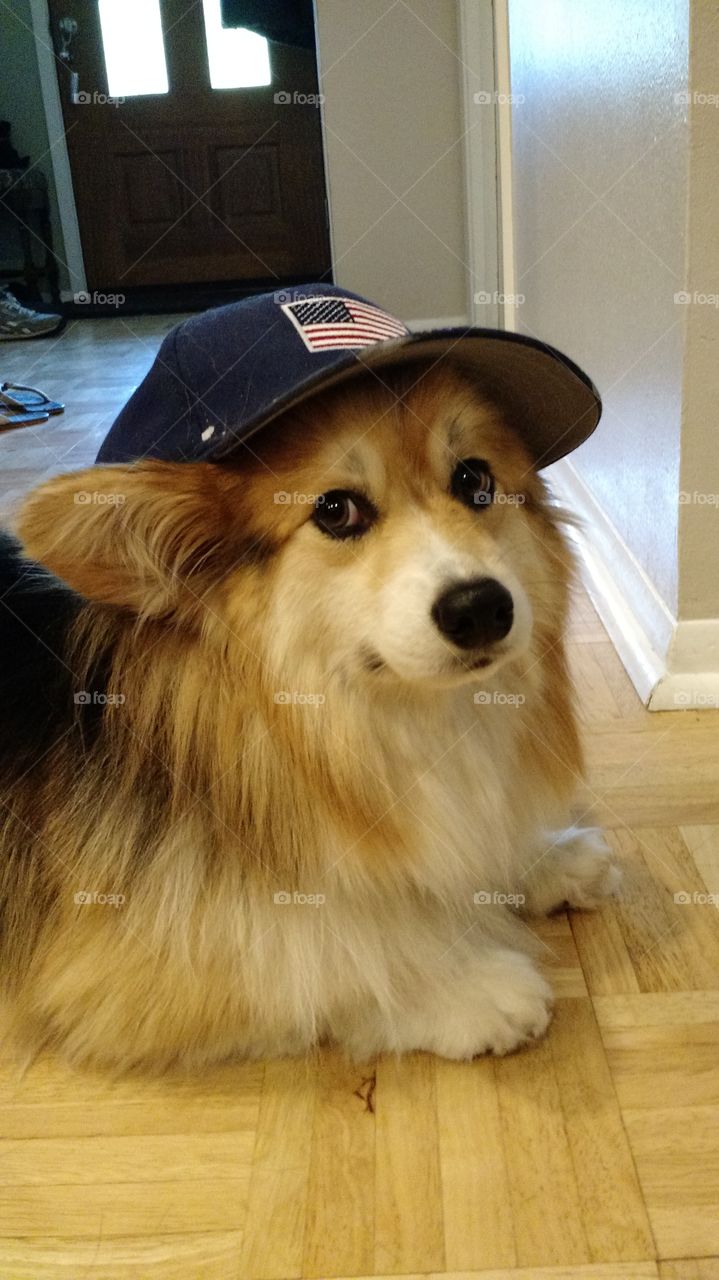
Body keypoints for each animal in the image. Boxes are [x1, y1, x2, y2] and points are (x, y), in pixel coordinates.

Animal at [0, 358, 616, 1070]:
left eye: (474, 479)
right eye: (336, 510)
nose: (481, 607)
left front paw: (543, 858)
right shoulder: (109, 971)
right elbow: (321, 962)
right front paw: (463, 988)